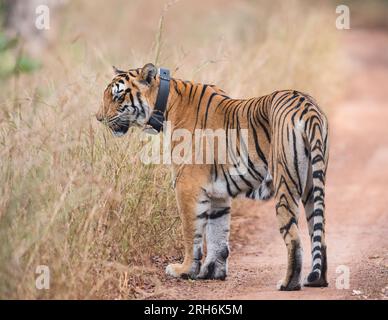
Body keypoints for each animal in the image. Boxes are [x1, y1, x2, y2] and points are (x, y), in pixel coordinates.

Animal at [95, 62, 328, 290]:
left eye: (118, 97)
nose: (99, 119)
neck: (165, 104)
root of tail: (307, 106)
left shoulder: (187, 186)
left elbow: (191, 232)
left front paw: (184, 270)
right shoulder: (218, 192)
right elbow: (218, 235)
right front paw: (211, 272)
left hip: (284, 181)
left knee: (294, 237)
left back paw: (289, 283)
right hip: (312, 185)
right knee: (319, 233)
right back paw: (317, 280)